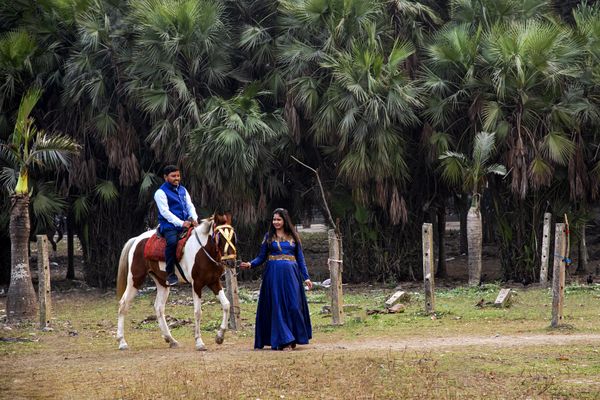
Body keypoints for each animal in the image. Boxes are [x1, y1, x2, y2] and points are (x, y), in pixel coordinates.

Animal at [115, 212, 237, 350]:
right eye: (219, 238)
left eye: (233, 237)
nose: (231, 262)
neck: (202, 250)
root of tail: (136, 240)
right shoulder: (197, 284)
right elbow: (198, 312)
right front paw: (199, 342)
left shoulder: (214, 282)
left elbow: (226, 305)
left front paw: (220, 337)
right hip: (135, 280)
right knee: (123, 304)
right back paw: (122, 342)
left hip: (162, 283)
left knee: (159, 307)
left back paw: (171, 339)